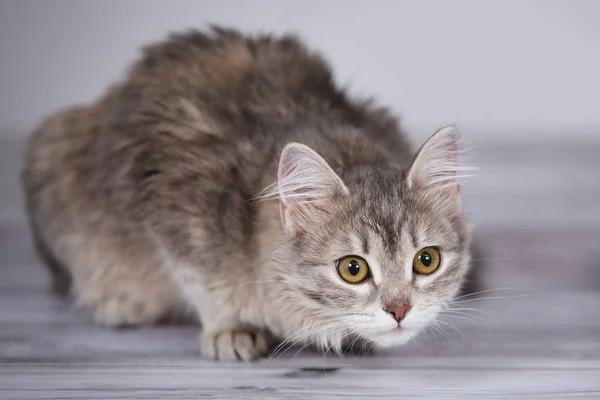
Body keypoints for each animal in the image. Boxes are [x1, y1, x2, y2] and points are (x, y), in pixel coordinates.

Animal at [21, 26, 474, 360]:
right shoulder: (169, 190)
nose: (400, 310)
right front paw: (229, 327)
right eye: (353, 269)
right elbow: (198, 280)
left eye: (427, 261)